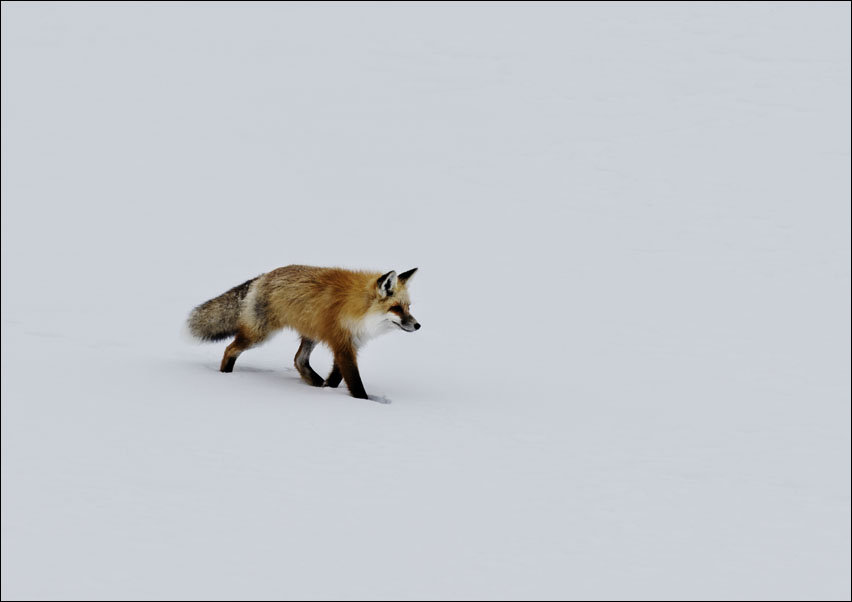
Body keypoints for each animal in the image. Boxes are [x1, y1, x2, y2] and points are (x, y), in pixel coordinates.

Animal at [186, 265, 420, 399]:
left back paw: (315, 383)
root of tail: (262, 277)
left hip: (311, 333)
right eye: (396, 308)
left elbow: (337, 376)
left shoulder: (349, 343)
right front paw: (364, 401)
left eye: (409, 307)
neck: (359, 310)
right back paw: (225, 376)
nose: (418, 325)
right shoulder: (342, 343)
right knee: (230, 348)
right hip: (259, 335)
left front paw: (328, 389)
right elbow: (354, 380)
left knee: (298, 360)